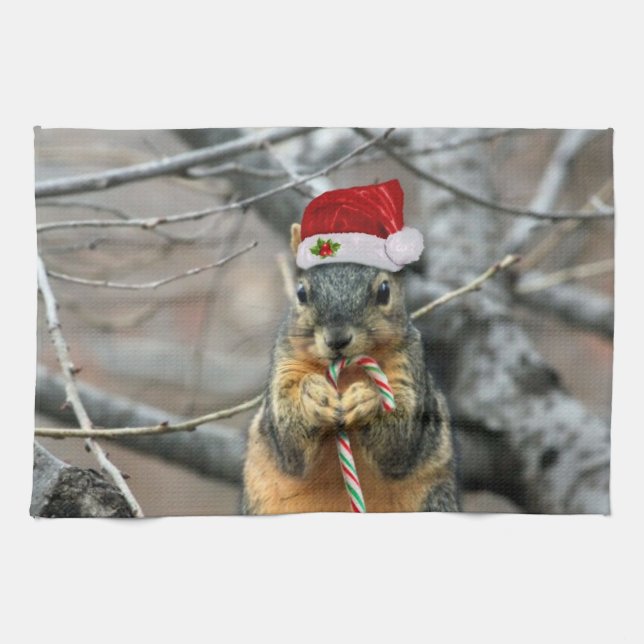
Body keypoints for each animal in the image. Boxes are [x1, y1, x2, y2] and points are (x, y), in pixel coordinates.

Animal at [242, 180, 459, 514]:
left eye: (384, 291)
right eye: (301, 292)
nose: (337, 339)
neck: (344, 374)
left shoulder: (408, 367)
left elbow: (400, 440)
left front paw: (367, 397)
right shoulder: (284, 368)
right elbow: (288, 441)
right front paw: (313, 394)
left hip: (435, 502)